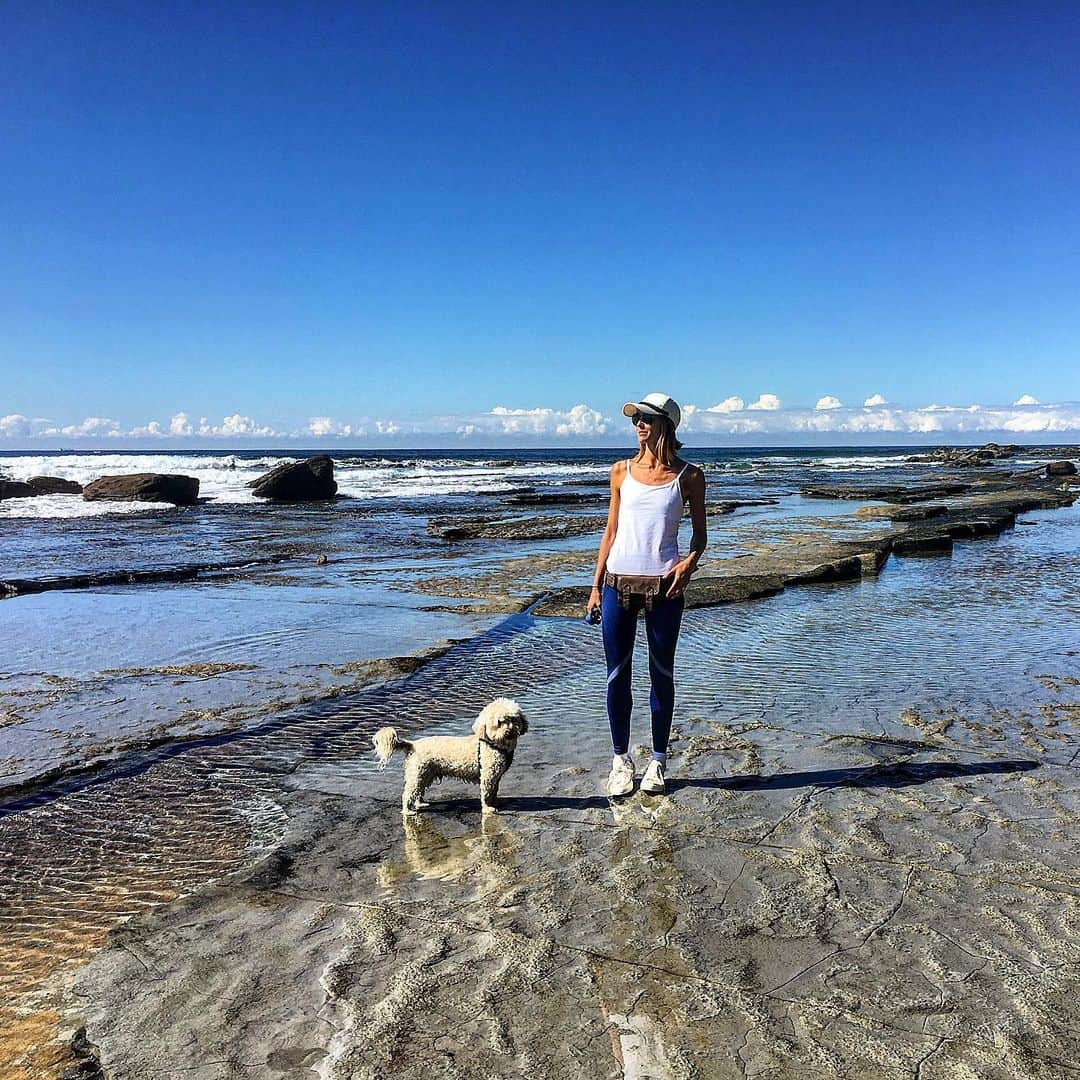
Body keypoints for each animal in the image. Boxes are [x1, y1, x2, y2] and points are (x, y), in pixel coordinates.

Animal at [371, 695, 527, 812]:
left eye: (513, 719)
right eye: (499, 722)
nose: (510, 732)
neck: (492, 744)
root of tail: (412, 744)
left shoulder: (495, 777)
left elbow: (494, 792)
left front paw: (495, 803)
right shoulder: (488, 776)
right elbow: (487, 794)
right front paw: (489, 808)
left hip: (425, 774)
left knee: (418, 791)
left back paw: (420, 804)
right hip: (417, 774)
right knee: (408, 794)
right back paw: (408, 811)